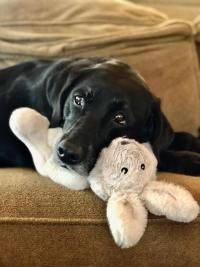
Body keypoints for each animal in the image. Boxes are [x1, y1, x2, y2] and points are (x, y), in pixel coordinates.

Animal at [0, 57, 199, 177]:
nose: (67, 153)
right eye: (78, 99)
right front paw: (190, 160)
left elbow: (179, 137)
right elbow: (157, 156)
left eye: (119, 118)